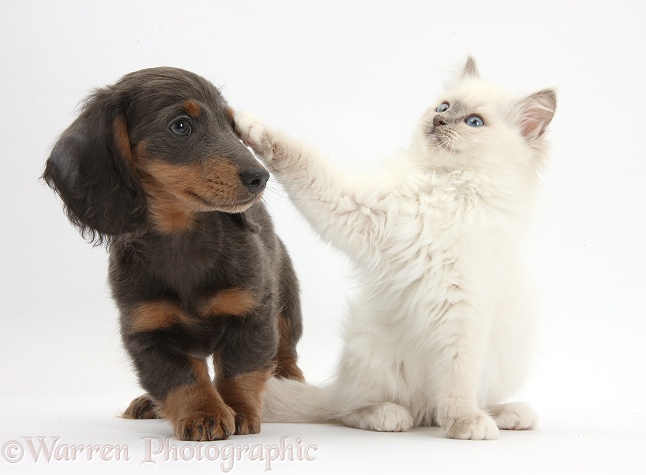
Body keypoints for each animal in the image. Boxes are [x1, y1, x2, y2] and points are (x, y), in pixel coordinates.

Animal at [43, 67, 306, 442]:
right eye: (181, 126)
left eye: (231, 126)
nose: (261, 177)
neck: (182, 237)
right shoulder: (147, 333)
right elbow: (181, 379)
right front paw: (203, 413)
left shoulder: (253, 313)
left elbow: (239, 370)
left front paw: (239, 409)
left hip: (286, 301)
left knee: (286, 350)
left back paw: (288, 382)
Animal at [237, 57, 556, 440]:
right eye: (444, 107)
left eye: (474, 122)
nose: (438, 121)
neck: (444, 186)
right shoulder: (356, 208)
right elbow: (295, 156)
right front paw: (248, 126)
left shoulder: (465, 311)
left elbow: (458, 380)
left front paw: (464, 421)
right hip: (374, 350)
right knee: (349, 409)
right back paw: (389, 415)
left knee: (438, 403)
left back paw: (505, 414)